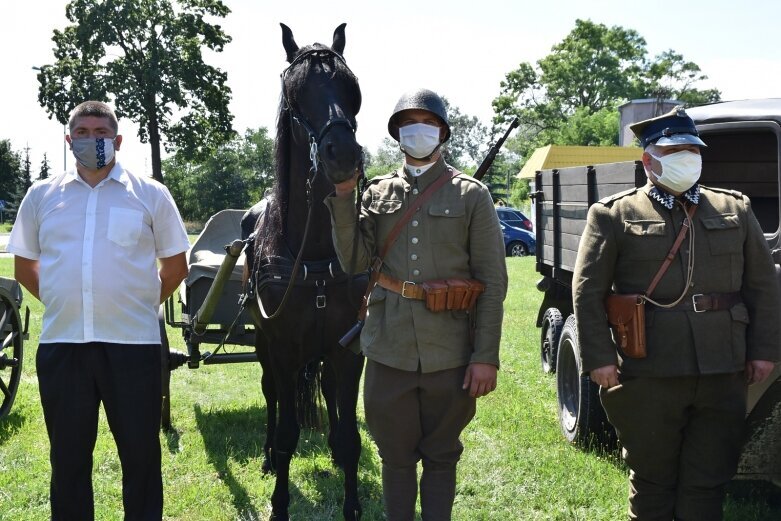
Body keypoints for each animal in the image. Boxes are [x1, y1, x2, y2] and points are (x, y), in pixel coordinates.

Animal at [242, 24, 368, 520]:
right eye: (295, 94)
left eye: (351, 89)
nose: (343, 154)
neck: (313, 252)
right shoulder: (280, 351)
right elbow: (287, 436)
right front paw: (279, 504)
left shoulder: (348, 349)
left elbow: (351, 435)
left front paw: (352, 505)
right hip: (263, 347)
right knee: (273, 399)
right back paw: (263, 456)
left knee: (329, 393)